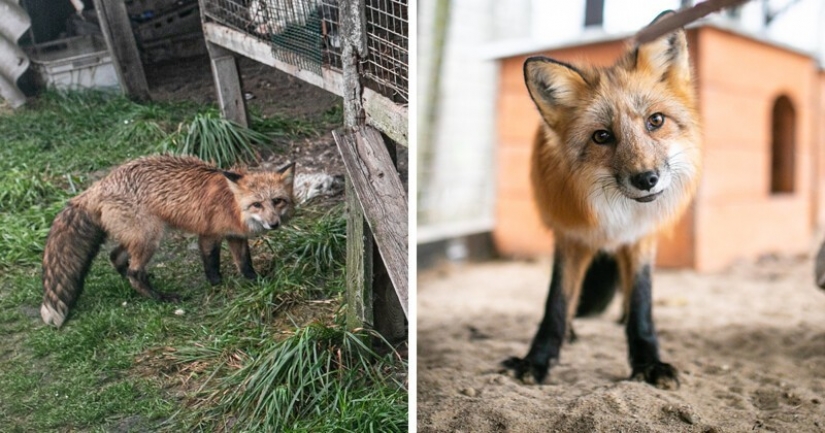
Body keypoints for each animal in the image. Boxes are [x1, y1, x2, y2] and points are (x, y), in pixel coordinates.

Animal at [41, 155, 295, 328]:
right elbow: (211, 264)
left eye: (278, 201)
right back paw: (160, 298)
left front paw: (255, 281)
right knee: (134, 271)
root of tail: (98, 185)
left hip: (138, 237)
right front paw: (217, 286)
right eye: (257, 205)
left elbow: (245, 263)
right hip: (150, 237)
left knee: (116, 257)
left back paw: (132, 284)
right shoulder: (208, 235)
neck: (231, 203)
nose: (274, 224)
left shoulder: (235, 237)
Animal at [503, 12, 701, 390]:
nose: (646, 179)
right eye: (602, 136)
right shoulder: (571, 236)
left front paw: (648, 362)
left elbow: (641, 303)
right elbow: (556, 303)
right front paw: (536, 361)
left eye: (655, 121)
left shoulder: (640, 238)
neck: (617, 214)